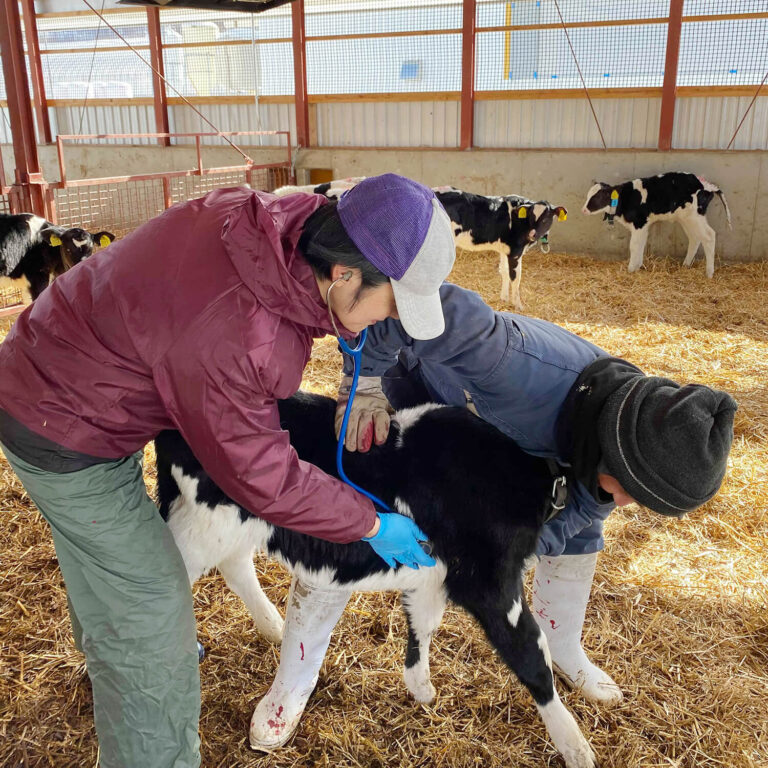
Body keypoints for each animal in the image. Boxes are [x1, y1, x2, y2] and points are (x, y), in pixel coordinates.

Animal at [156, 392, 596, 764]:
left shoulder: (433, 573)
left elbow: (423, 623)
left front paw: (420, 686)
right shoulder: (491, 584)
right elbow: (531, 654)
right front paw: (575, 746)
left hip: (226, 524)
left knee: (235, 565)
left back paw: (275, 627)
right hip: (204, 521)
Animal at [584, 172, 732, 280]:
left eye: (598, 197)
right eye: (588, 195)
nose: (583, 210)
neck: (627, 198)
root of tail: (707, 186)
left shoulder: (639, 223)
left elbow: (634, 245)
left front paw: (630, 269)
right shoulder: (643, 226)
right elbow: (641, 244)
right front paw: (638, 267)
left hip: (695, 217)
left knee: (709, 236)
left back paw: (709, 273)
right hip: (687, 219)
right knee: (695, 238)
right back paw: (686, 265)